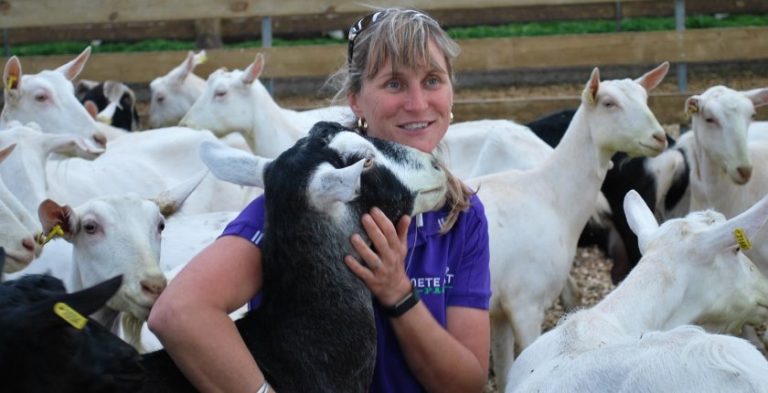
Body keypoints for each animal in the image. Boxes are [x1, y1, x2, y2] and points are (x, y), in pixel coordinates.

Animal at [464, 62, 668, 390]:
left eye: (645, 97)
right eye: (608, 103)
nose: (659, 137)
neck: (551, 196)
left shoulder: (499, 308)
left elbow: (505, 370)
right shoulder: (526, 303)